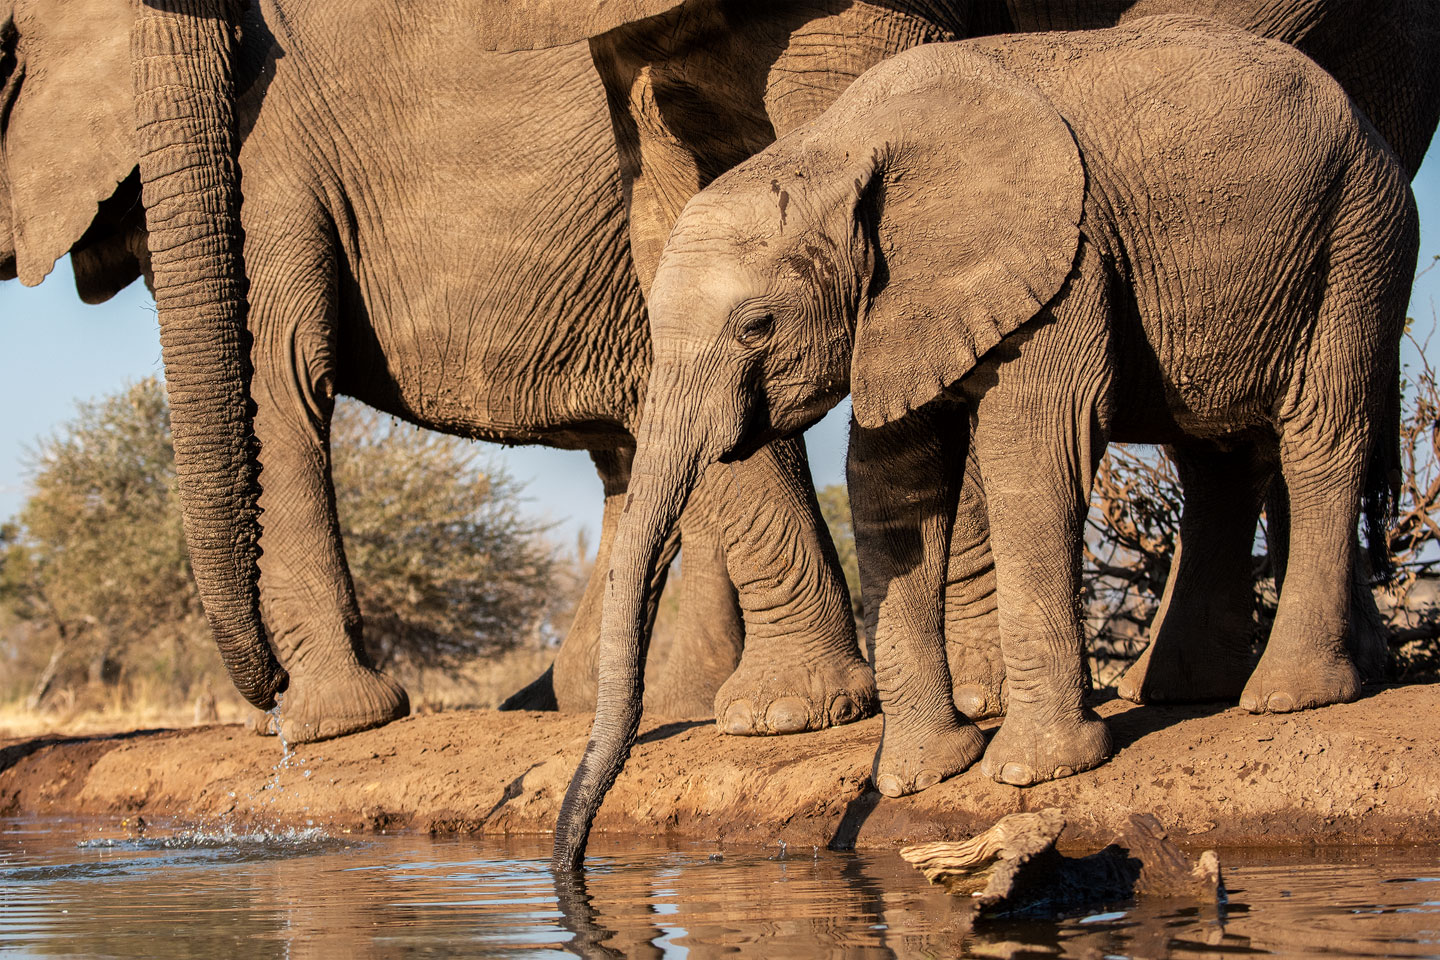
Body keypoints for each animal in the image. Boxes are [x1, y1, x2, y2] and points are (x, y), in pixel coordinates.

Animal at [5, 0, 869, 742]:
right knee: (637, 450)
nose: (266, 693)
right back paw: (563, 704)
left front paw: (325, 726)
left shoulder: (264, 155)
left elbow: (276, 375)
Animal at [550, 16, 1416, 869]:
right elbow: (893, 482)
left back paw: (1289, 696)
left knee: (1320, 437)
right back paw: (1182, 692)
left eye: (756, 325)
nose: (572, 861)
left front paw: (1035, 773)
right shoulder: (903, 301)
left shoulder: (1066, 255)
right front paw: (920, 776)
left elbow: (1032, 451)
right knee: (1217, 454)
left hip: (1360, 237)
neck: (841, 145)